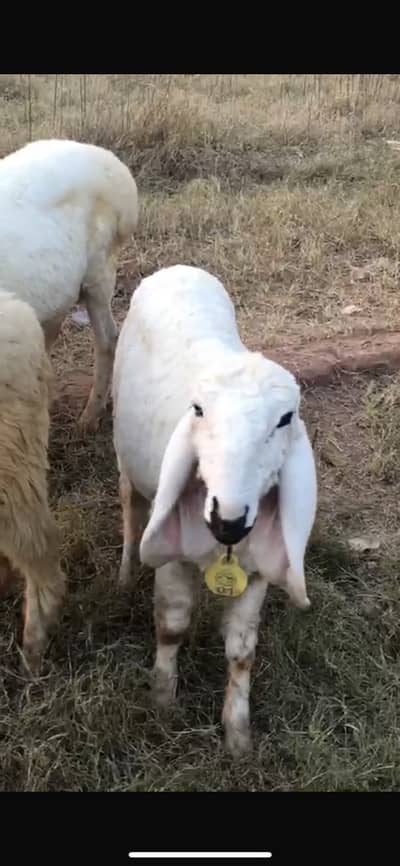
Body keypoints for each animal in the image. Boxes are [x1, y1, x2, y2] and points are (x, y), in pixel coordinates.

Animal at [112, 264, 317, 757]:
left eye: (285, 419)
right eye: (198, 410)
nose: (229, 519)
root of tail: (179, 267)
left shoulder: (258, 571)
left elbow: (242, 652)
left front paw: (238, 735)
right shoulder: (172, 554)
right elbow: (171, 626)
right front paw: (162, 704)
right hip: (123, 453)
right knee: (130, 505)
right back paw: (125, 574)